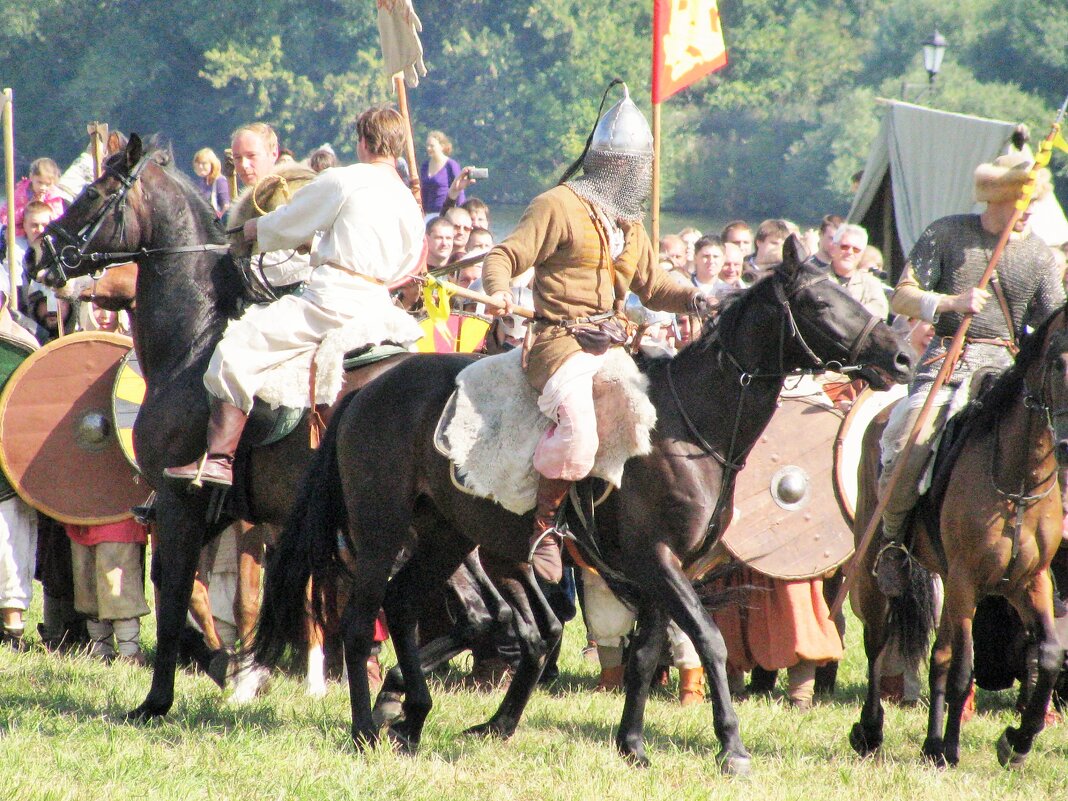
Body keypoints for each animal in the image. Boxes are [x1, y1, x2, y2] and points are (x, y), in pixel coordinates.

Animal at [254, 238, 914, 773]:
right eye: (820, 303)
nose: (902, 358)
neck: (688, 426)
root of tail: (366, 389)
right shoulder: (658, 561)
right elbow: (709, 639)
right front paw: (731, 747)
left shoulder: (661, 571)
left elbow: (645, 654)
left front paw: (633, 744)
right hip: (381, 529)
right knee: (360, 620)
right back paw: (367, 727)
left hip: (446, 534)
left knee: (404, 604)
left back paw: (412, 716)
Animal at [850, 309, 1068, 773]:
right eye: (1059, 364)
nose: (1066, 446)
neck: (1015, 482)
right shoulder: (969, 582)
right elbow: (965, 670)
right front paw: (953, 748)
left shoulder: (1029, 582)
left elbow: (1048, 655)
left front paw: (1016, 742)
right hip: (874, 568)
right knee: (877, 642)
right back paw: (871, 730)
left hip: (949, 585)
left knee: (938, 659)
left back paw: (930, 743)